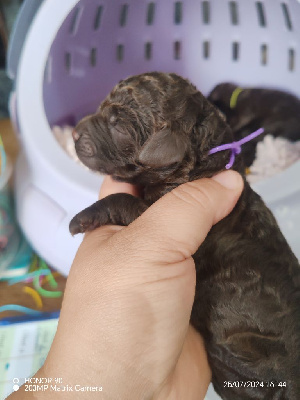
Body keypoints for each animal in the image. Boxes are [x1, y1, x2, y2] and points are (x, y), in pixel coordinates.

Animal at [69, 72, 300, 400]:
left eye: (118, 125)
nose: (75, 133)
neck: (200, 161)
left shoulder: (156, 214)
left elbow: (123, 201)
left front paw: (83, 217)